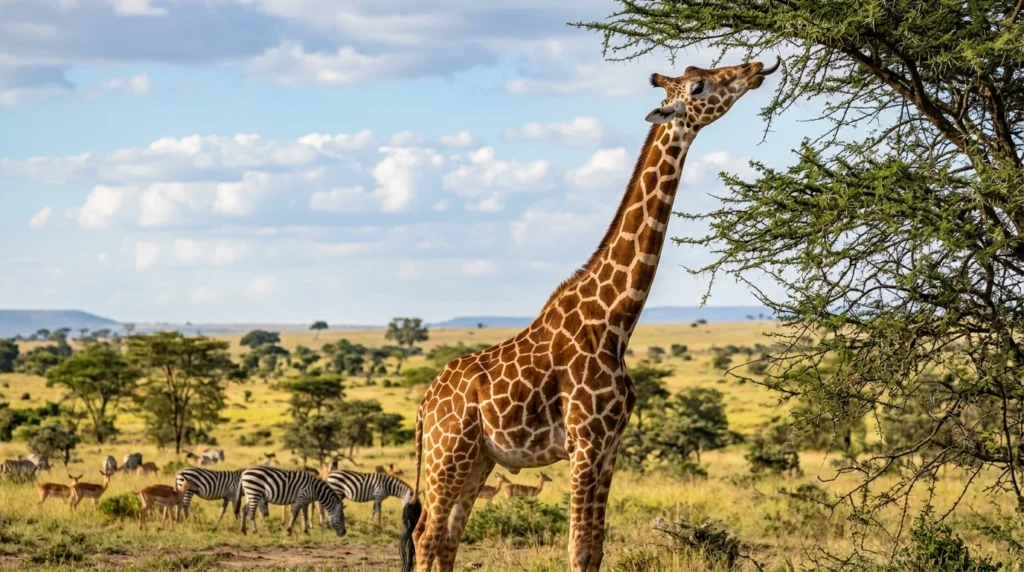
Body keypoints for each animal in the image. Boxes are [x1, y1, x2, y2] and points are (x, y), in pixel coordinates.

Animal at [400, 57, 781, 572]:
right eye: (699, 85)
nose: (756, 66)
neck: (615, 323)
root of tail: (425, 406)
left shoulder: (610, 447)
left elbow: (596, 546)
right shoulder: (585, 443)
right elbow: (579, 549)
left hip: (479, 458)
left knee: (446, 538)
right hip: (448, 453)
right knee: (426, 535)